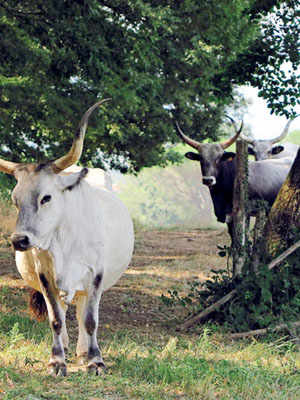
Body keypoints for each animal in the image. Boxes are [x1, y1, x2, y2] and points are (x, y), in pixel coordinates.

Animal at [0, 100, 134, 376]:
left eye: (46, 197)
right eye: (15, 200)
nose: (19, 240)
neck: (65, 242)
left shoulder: (95, 274)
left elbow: (91, 320)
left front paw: (95, 361)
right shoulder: (45, 276)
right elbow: (56, 319)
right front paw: (57, 361)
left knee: (83, 311)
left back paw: (84, 351)